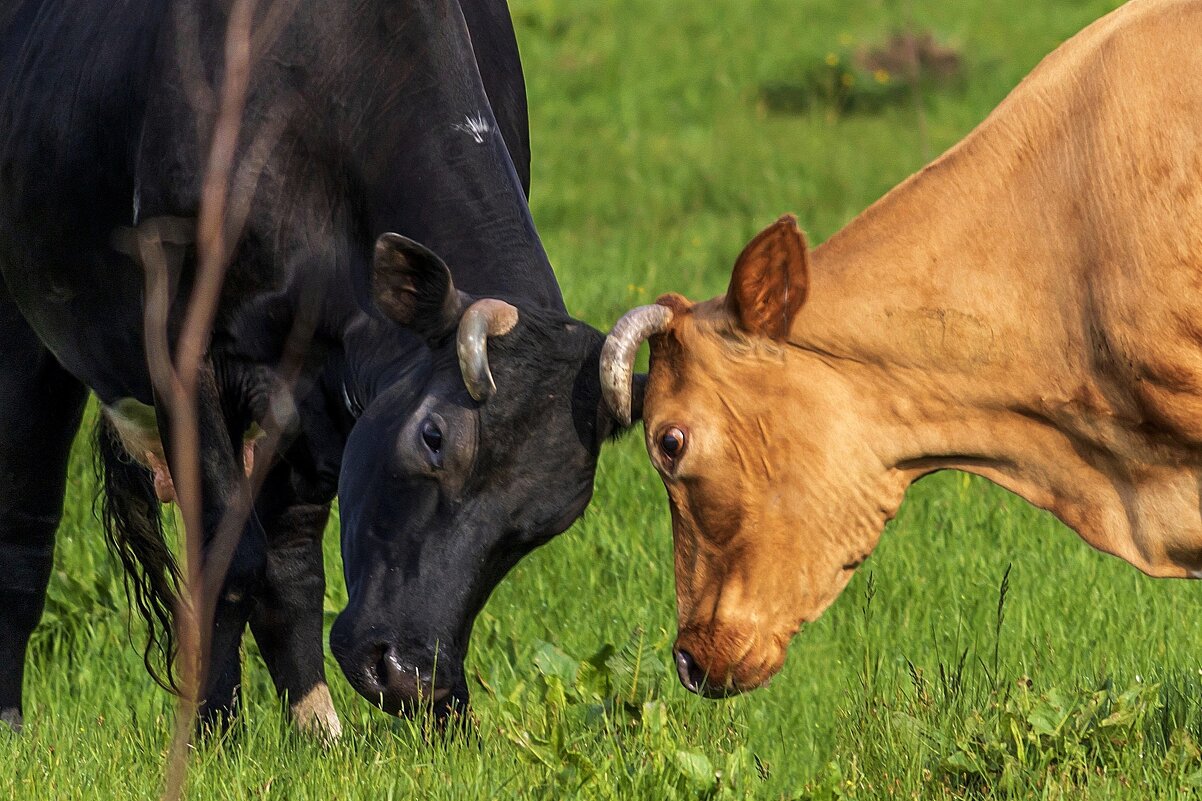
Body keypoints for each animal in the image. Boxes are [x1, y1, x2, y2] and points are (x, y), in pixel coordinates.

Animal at [2, 0, 629, 731]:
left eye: (550, 520)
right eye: (434, 437)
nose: (411, 677)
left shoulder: (317, 395)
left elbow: (292, 568)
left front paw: (325, 731)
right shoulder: (187, 355)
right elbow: (230, 561)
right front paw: (213, 734)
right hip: (24, 335)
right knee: (24, 533)